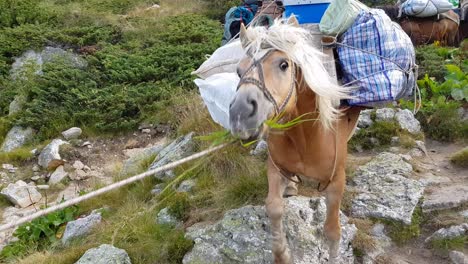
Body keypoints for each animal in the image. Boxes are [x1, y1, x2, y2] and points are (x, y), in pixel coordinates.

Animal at [229, 17, 360, 262]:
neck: (307, 138)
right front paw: (282, 255)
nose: (241, 114)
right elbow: (273, 207)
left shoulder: (336, 182)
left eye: (283, 65)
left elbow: (332, 231)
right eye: (238, 71)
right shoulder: (275, 167)